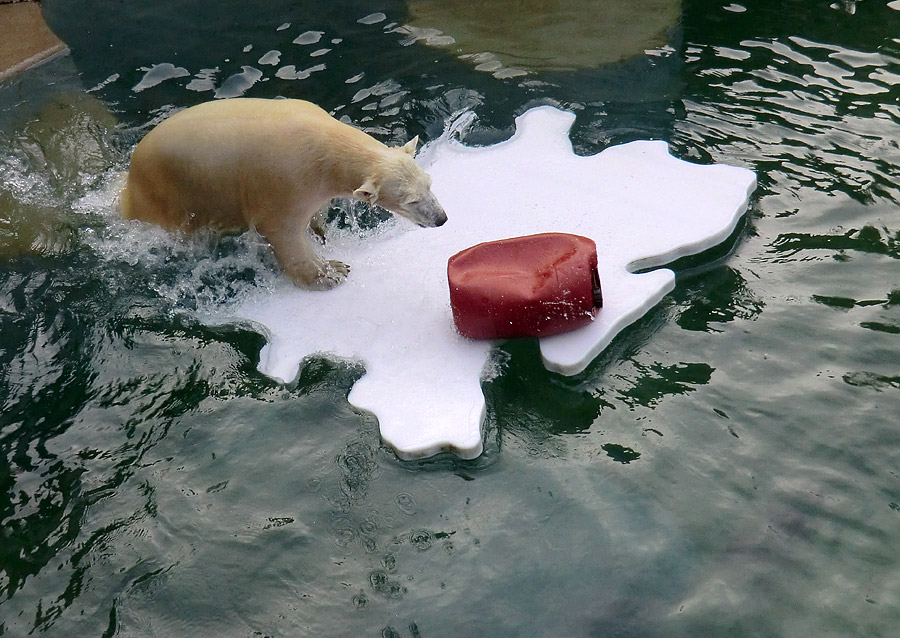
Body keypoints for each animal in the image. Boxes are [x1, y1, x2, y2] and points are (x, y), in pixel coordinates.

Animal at [119, 97, 446, 290]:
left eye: (429, 183)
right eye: (411, 200)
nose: (441, 218)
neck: (323, 143)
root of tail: (129, 181)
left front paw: (321, 231)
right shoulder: (285, 181)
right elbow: (283, 233)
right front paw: (332, 271)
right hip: (166, 196)